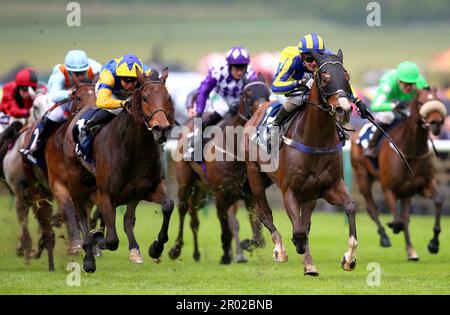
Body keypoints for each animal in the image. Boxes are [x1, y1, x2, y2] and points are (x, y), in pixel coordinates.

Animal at [63, 68, 176, 272]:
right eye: (145, 98)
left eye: (168, 97)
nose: (161, 128)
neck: (134, 148)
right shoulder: (106, 193)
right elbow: (111, 240)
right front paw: (97, 239)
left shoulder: (149, 188)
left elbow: (168, 205)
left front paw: (155, 247)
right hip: (76, 185)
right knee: (82, 217)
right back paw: (89, 257)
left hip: (129, 194)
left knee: (127, 219)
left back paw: (133, 250)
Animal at [169, 76, 268, 264]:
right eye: (248, 93)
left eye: (267, 91)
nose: (262, 110)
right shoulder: (221, 196)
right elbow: (226, 228)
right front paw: (226, 255)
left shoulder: (249, 195)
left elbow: (258, 234)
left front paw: (244, 245)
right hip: (185, 183)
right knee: (183, 209)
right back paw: (176, 249)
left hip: (200, 188)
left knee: (193, 216)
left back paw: (196, 253)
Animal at [243, 50, 358, 276]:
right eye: (324, 77)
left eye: (347, 76)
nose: (344, 109)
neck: (316, 139)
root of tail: (260, 107)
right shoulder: (290, 191)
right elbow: (298, 231)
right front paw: (295, 248)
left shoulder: (327, 187)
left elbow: (349, 207)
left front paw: (348, 258)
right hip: (255, 177)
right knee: (265, 215)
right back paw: (280, 250)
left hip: (308, 194)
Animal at [352, 87, 446, 260]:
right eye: (421, 102)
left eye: (438, 100)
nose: (436, 123)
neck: (411, 150)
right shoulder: (388, 189)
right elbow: (398, 219)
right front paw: (393, 226)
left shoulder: (423, 185)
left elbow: (438, 200)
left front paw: (434, 244)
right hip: (362, 176)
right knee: (372, 208)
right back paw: (384, 237)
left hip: (406, 192)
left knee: (405, 216)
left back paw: (411, 251)